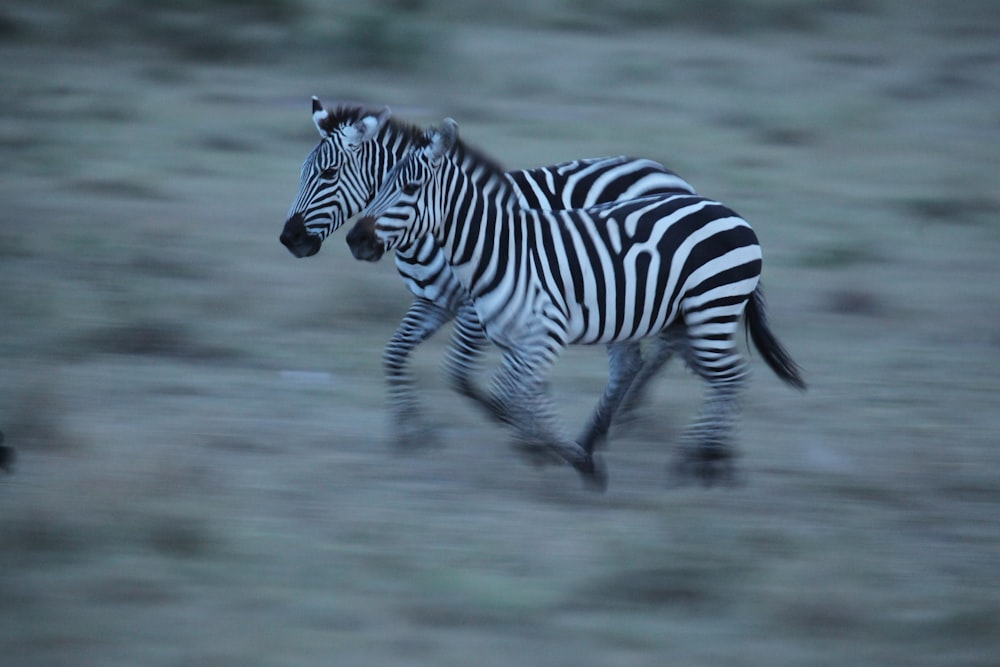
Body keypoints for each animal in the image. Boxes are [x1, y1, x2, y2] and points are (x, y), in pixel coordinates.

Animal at [278, 98, 700, 448]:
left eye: (330, 173)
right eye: (302, 172)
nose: (289, 238)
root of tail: (668, 173)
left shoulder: (474, 308)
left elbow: (460, 375)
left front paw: (520, 423)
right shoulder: (433, 302)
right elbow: (394, 355)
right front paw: (412, 430)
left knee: (661, 348)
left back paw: (627, 415)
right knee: (647, 353)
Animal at [348, 118, 808, 490]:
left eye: (409, 188)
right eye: (378, 184)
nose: (357, 240)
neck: (498, 249)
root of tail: (728, 210)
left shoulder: (543, 333)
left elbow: (512, 397)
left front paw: (572, 458)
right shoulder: (514, 340)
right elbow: (520, 398)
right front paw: (562, 450)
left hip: (711, 310)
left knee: (728, 376)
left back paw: (701, 461)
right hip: (685, 321)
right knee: (715, 377)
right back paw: (708, 459)